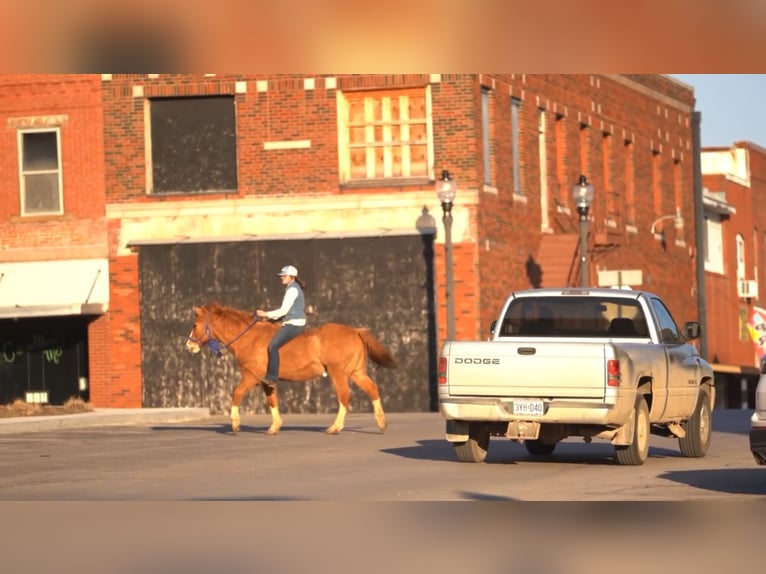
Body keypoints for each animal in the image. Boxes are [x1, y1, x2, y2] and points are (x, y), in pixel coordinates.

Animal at [185, 304, 400, 434]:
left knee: (345, 397)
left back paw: (335, 427)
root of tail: (355, 331)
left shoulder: (250, 377)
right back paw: (381, 423)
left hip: (338, 374)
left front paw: (235, 423)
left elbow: (236, 394)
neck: (249, 337)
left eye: (194, 325)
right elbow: (272, 401)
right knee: (372, 389)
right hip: (356, 373)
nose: (189, 346)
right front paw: (274, 426)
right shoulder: (267, 381)